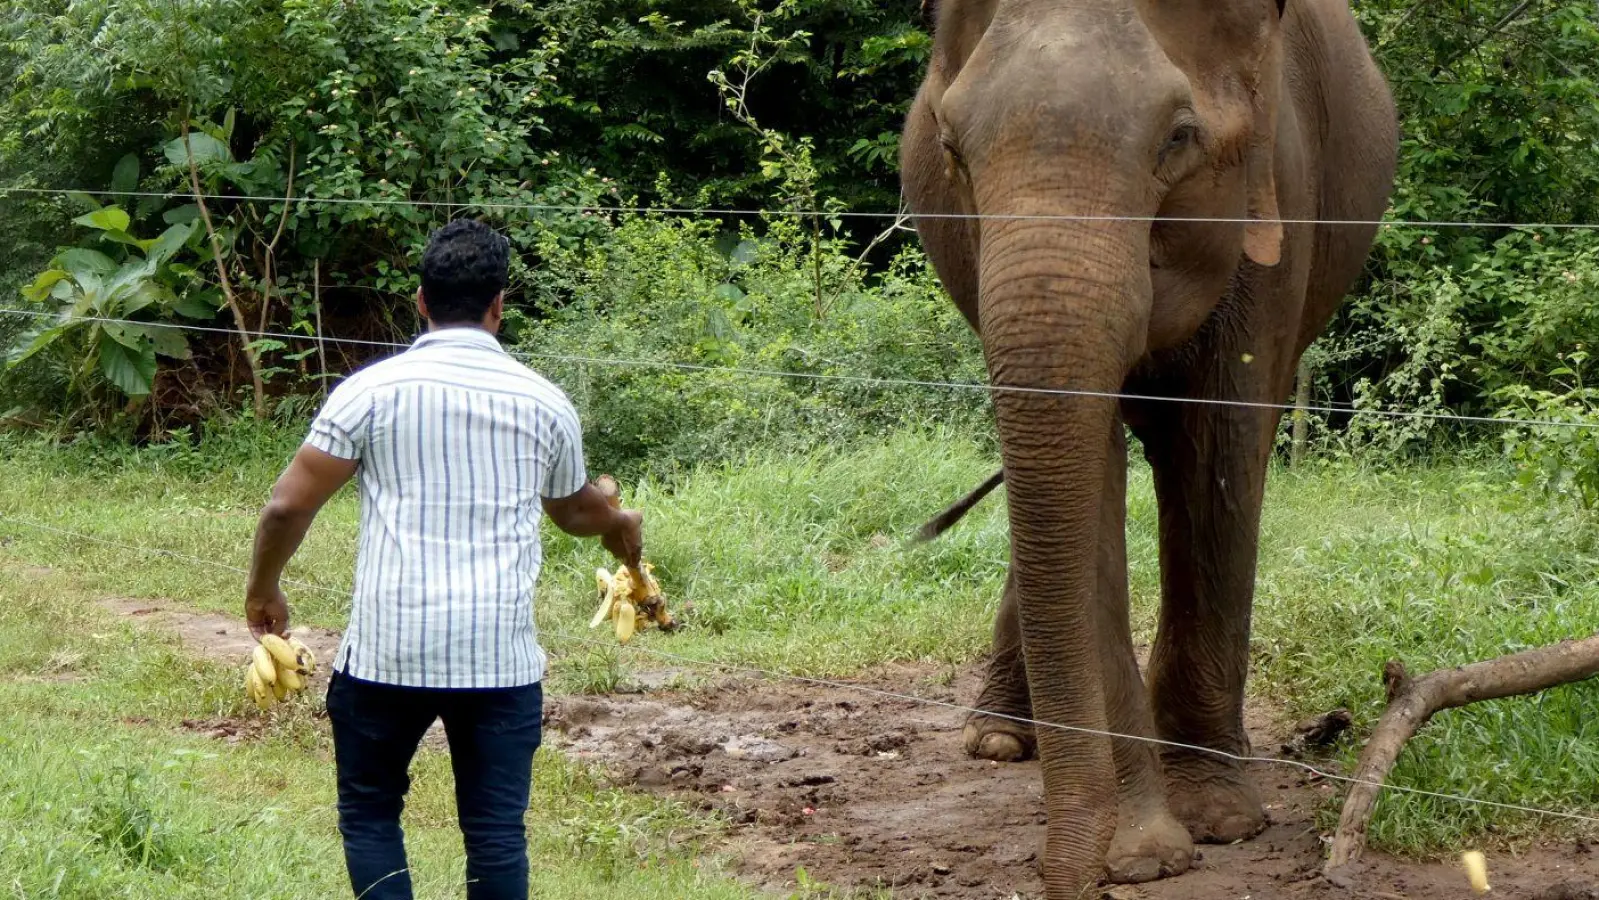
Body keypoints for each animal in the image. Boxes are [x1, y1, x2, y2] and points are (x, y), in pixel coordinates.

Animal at [898, 0, 1397, 895]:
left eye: (1177, 139)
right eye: (949, 149)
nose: (1074, 875)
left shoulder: (1277, 184)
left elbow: (1217, 450)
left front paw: (1219, 822)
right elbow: (1085, 478)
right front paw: (1145, 854)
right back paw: (997, 740)